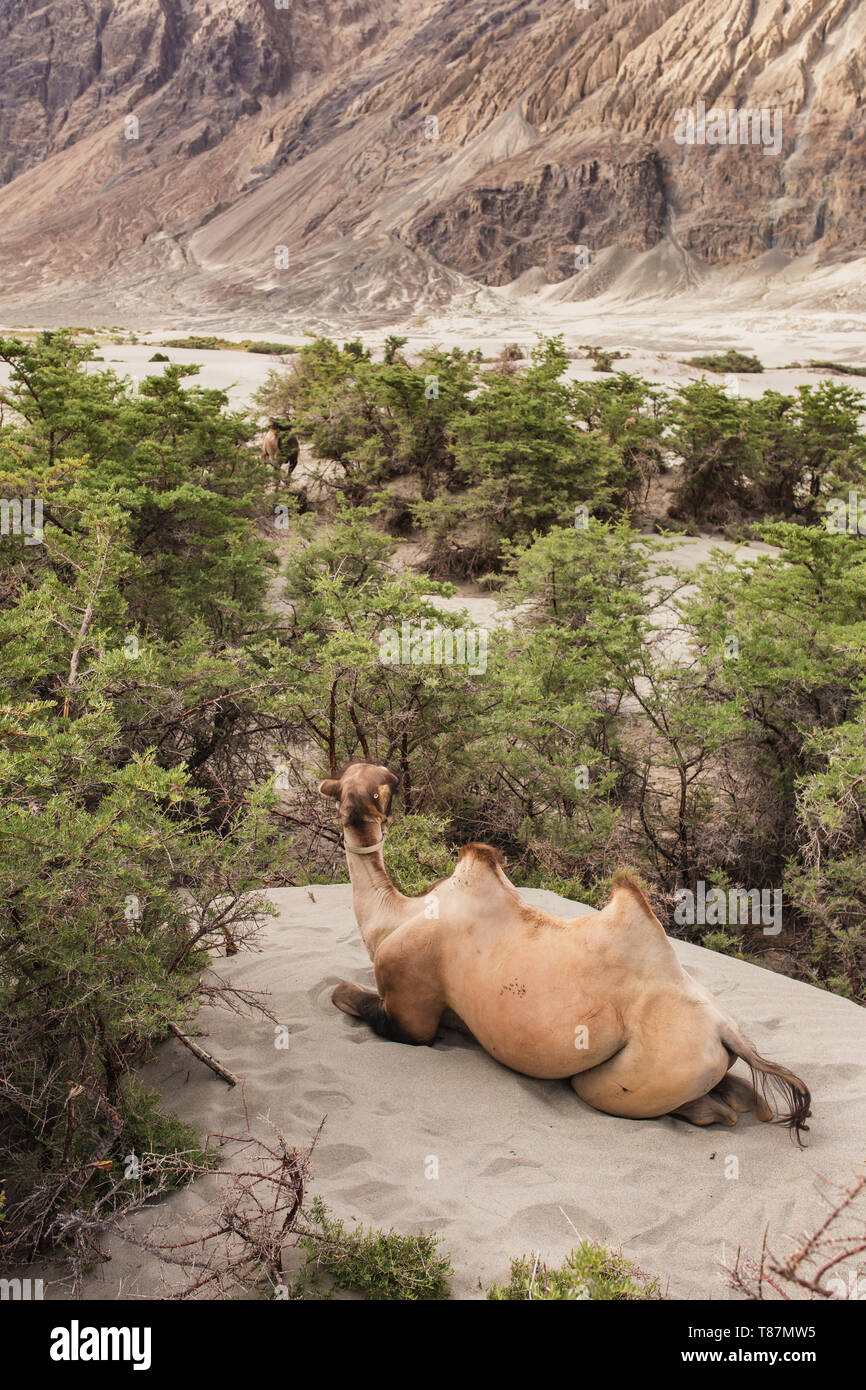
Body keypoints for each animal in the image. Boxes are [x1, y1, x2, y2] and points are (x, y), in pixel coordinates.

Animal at [318, 761, 811, 1139]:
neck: (395, 916)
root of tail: (726, 1031)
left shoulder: (411, 1008)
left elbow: (344, 994)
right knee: (745, 1095)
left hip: (638, 1074)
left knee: (689, 1106)